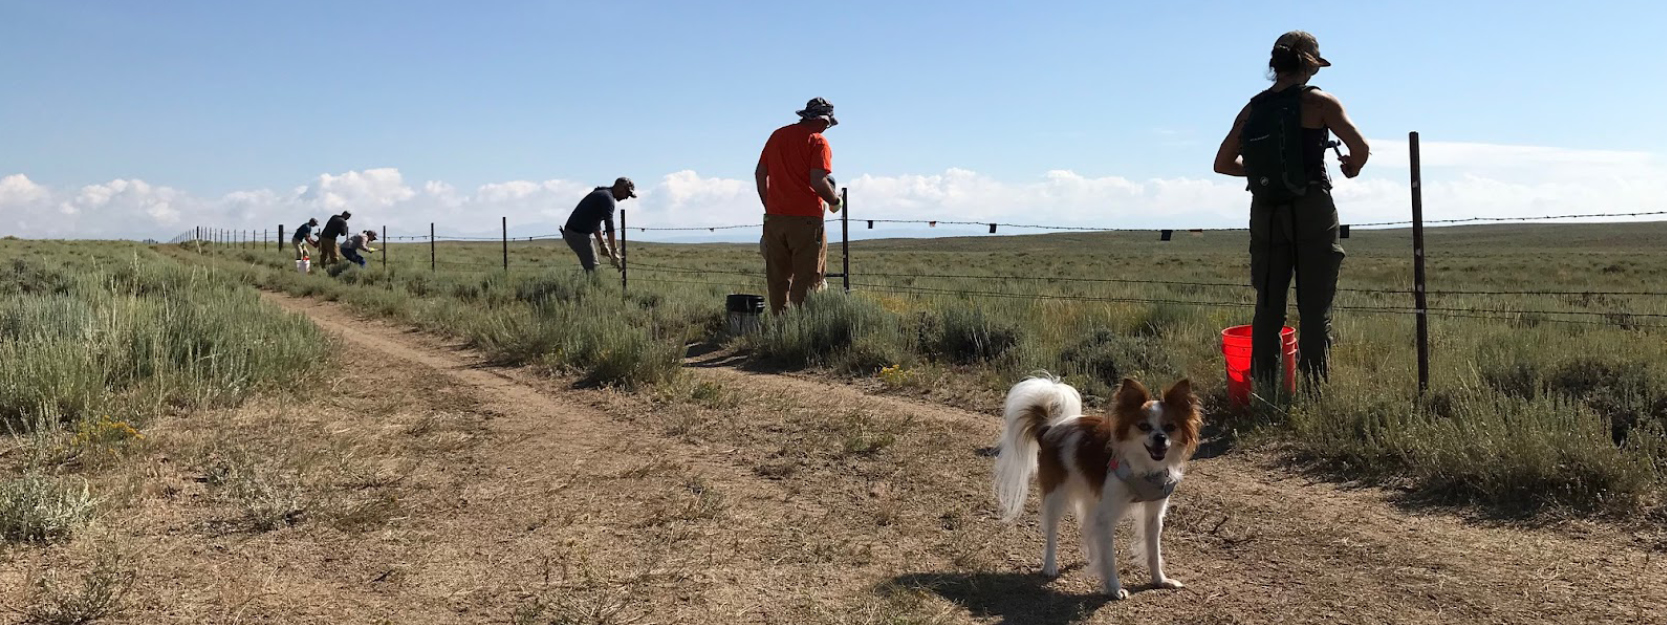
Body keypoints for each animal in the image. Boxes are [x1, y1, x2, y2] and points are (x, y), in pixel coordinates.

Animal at [993, 375, 1206, 600]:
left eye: (1170, 427)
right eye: (1144, 426)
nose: (1160, 437)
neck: (1144, 467)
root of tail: (1049, 429)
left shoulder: (1153, 514)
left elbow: (1153, 551)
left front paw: (1160, 580)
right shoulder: (1107, 515)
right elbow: (1110, 556)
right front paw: (1113, 587)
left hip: (1092, 497)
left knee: (1088, 526)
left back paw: (1093, 557)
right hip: (1057, 496)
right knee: (1052, 531)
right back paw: (1050, 566)